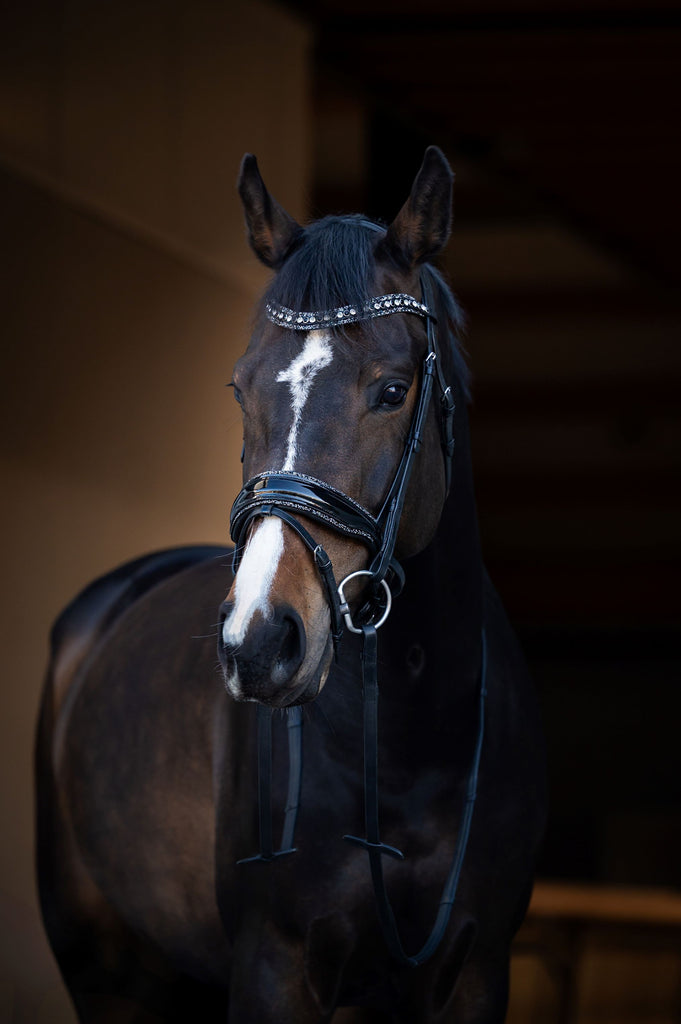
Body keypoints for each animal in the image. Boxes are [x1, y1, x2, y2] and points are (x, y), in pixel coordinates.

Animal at [36, 146, 546, 1023]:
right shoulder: (272, 967)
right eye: (241, 387)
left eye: (391, 389)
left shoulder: (477, 972)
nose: (259, 640)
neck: (413, 742)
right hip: (103, 970)